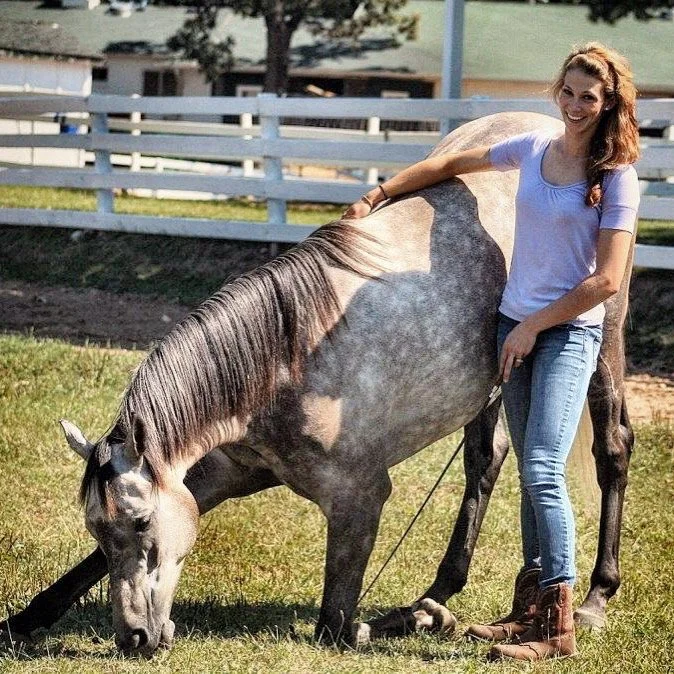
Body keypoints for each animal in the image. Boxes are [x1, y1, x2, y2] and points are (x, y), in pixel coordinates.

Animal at [0, 112, 635, 655]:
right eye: (99, 526)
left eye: (139, 523)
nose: (133, 638)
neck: (283, 365)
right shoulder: (213, 476)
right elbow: (88, 566)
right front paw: (27, 617)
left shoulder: (361, 497)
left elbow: (337, 626)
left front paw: (420, 619)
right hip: (493, 381)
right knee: (494, 458)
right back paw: (457, 590)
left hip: (602, 347)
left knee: (612, 449)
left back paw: (592, 598)